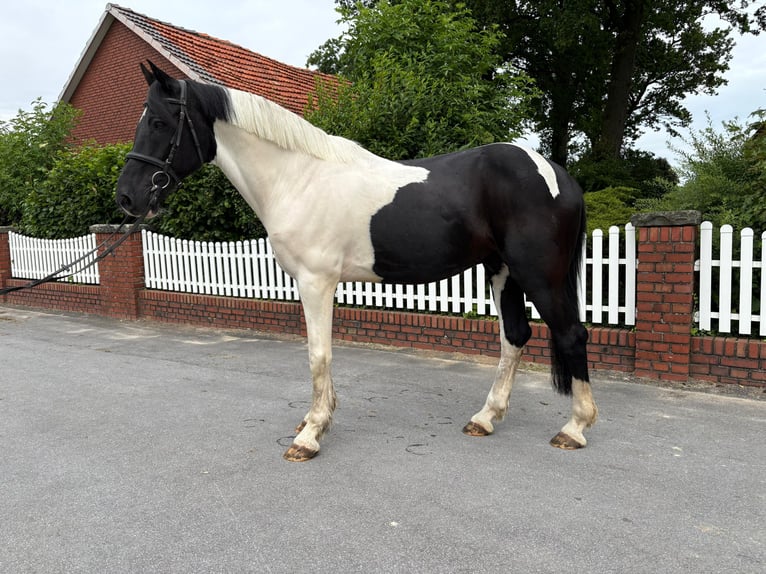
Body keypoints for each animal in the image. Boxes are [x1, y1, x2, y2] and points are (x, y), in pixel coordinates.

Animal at [116, 61, 598, 462]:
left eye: (159, 122)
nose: (127, 198)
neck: (297, 178)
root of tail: (558, 174)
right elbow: (322, 355)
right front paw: (320, 417)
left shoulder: (316, 282)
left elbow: (319, 354)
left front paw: (310, 434)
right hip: (502, 271)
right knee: (514, 336)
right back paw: (485, 417)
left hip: (538, 273)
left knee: (571, 334)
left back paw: (574, 428)